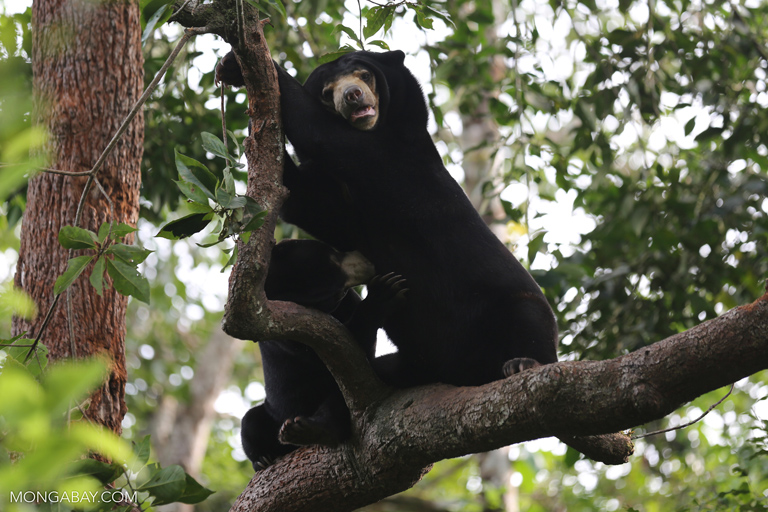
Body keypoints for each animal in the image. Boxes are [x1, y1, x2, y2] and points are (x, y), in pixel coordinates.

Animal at [218, 50, 560, 390]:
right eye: (327, 92)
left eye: (364, 75)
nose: (352, 96)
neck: (381, 127)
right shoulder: (345, 208)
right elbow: (306, 202)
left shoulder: (394, 159)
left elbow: (325, 136)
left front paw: (243, 65)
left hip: (513, 308)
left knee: (530, 319)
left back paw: (522, 363)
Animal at [243, 238, 404, 470]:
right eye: (333, 255)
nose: (367, 261)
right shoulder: (282, 328)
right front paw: (383, 293)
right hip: (274, 410)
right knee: (250, 421)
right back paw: (265, 457)